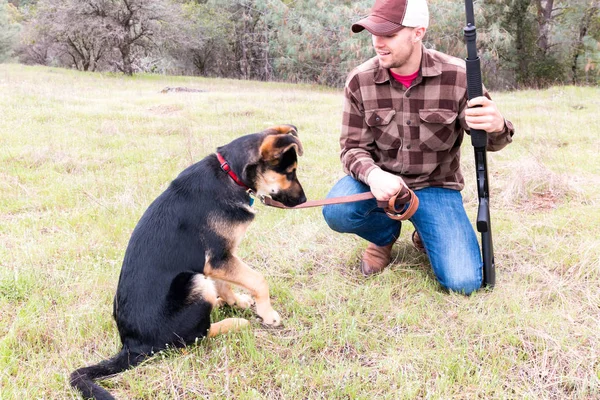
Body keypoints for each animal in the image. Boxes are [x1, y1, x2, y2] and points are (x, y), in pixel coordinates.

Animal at [70, 123, 304, 398]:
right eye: (290, 172)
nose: (303, 201)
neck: (230, 173)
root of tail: (132, 345)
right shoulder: (218, 258)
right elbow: (258, 280)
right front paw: (268, 314)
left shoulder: (217, 260)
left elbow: (226, 284)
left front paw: (236, 301)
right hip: (194, 282)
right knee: (195, 336)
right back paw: (234, 323)